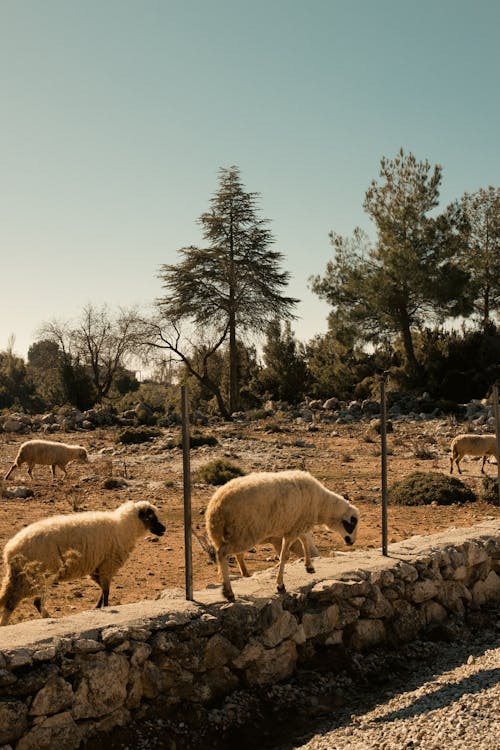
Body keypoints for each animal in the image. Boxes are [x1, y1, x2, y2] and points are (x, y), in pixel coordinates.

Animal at [0, 500, 168, 628]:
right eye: (151, 517)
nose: (163, 529)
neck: (124, 528)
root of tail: (10, 550)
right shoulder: (107, 565)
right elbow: (106, 591)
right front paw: (105, 607)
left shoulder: (97, 568)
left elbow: (102, 590)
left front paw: (96, 608)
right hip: (35, 577)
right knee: (26, 602)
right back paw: (46, 618)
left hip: (20, 578)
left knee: (10, 600)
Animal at [206, 472, 360, 604]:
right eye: (353, 523)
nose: (352, 542)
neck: (322, 505)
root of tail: (216, 507)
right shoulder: (291, 531)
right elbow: (284, 556)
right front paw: (280, 585)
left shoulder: (297, 524)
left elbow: (304, 541)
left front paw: (309, 566)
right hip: (243, 533)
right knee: (222, 553)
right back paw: (229, 592)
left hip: (229, 534)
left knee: (226, 554)